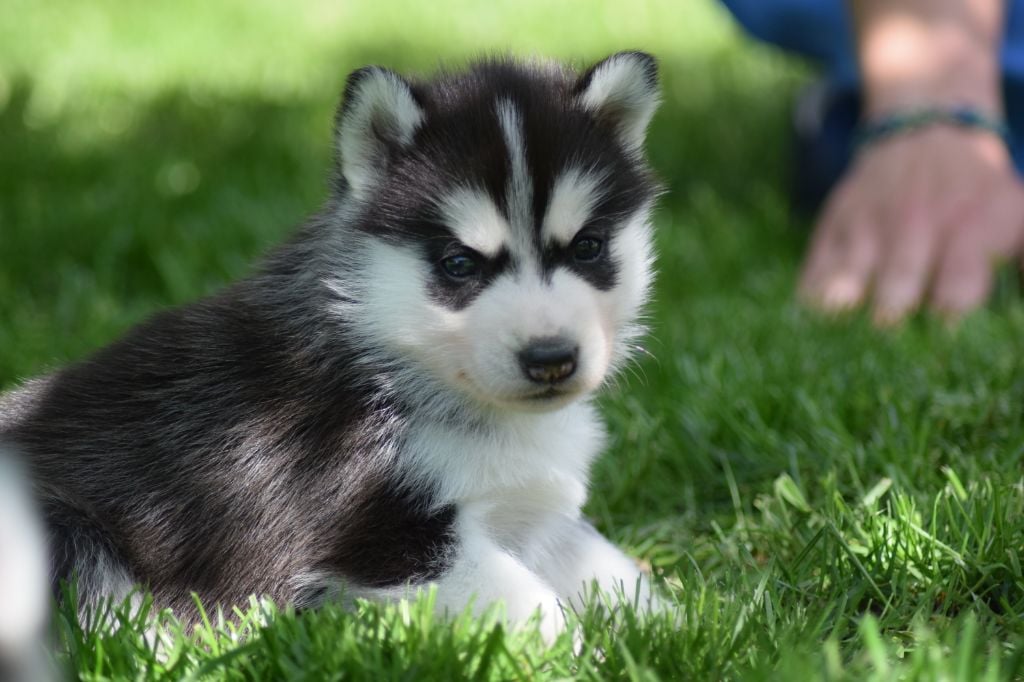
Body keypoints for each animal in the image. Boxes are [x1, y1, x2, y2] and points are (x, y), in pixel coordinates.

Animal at [0, 51, 663, 638]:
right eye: (458, 264)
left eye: (587, 248)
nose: (551, 359)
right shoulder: (380, 532)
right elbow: (532, 602)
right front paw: (581, 652)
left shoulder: (535, 510)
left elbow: (609, 566)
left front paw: (669, 629)